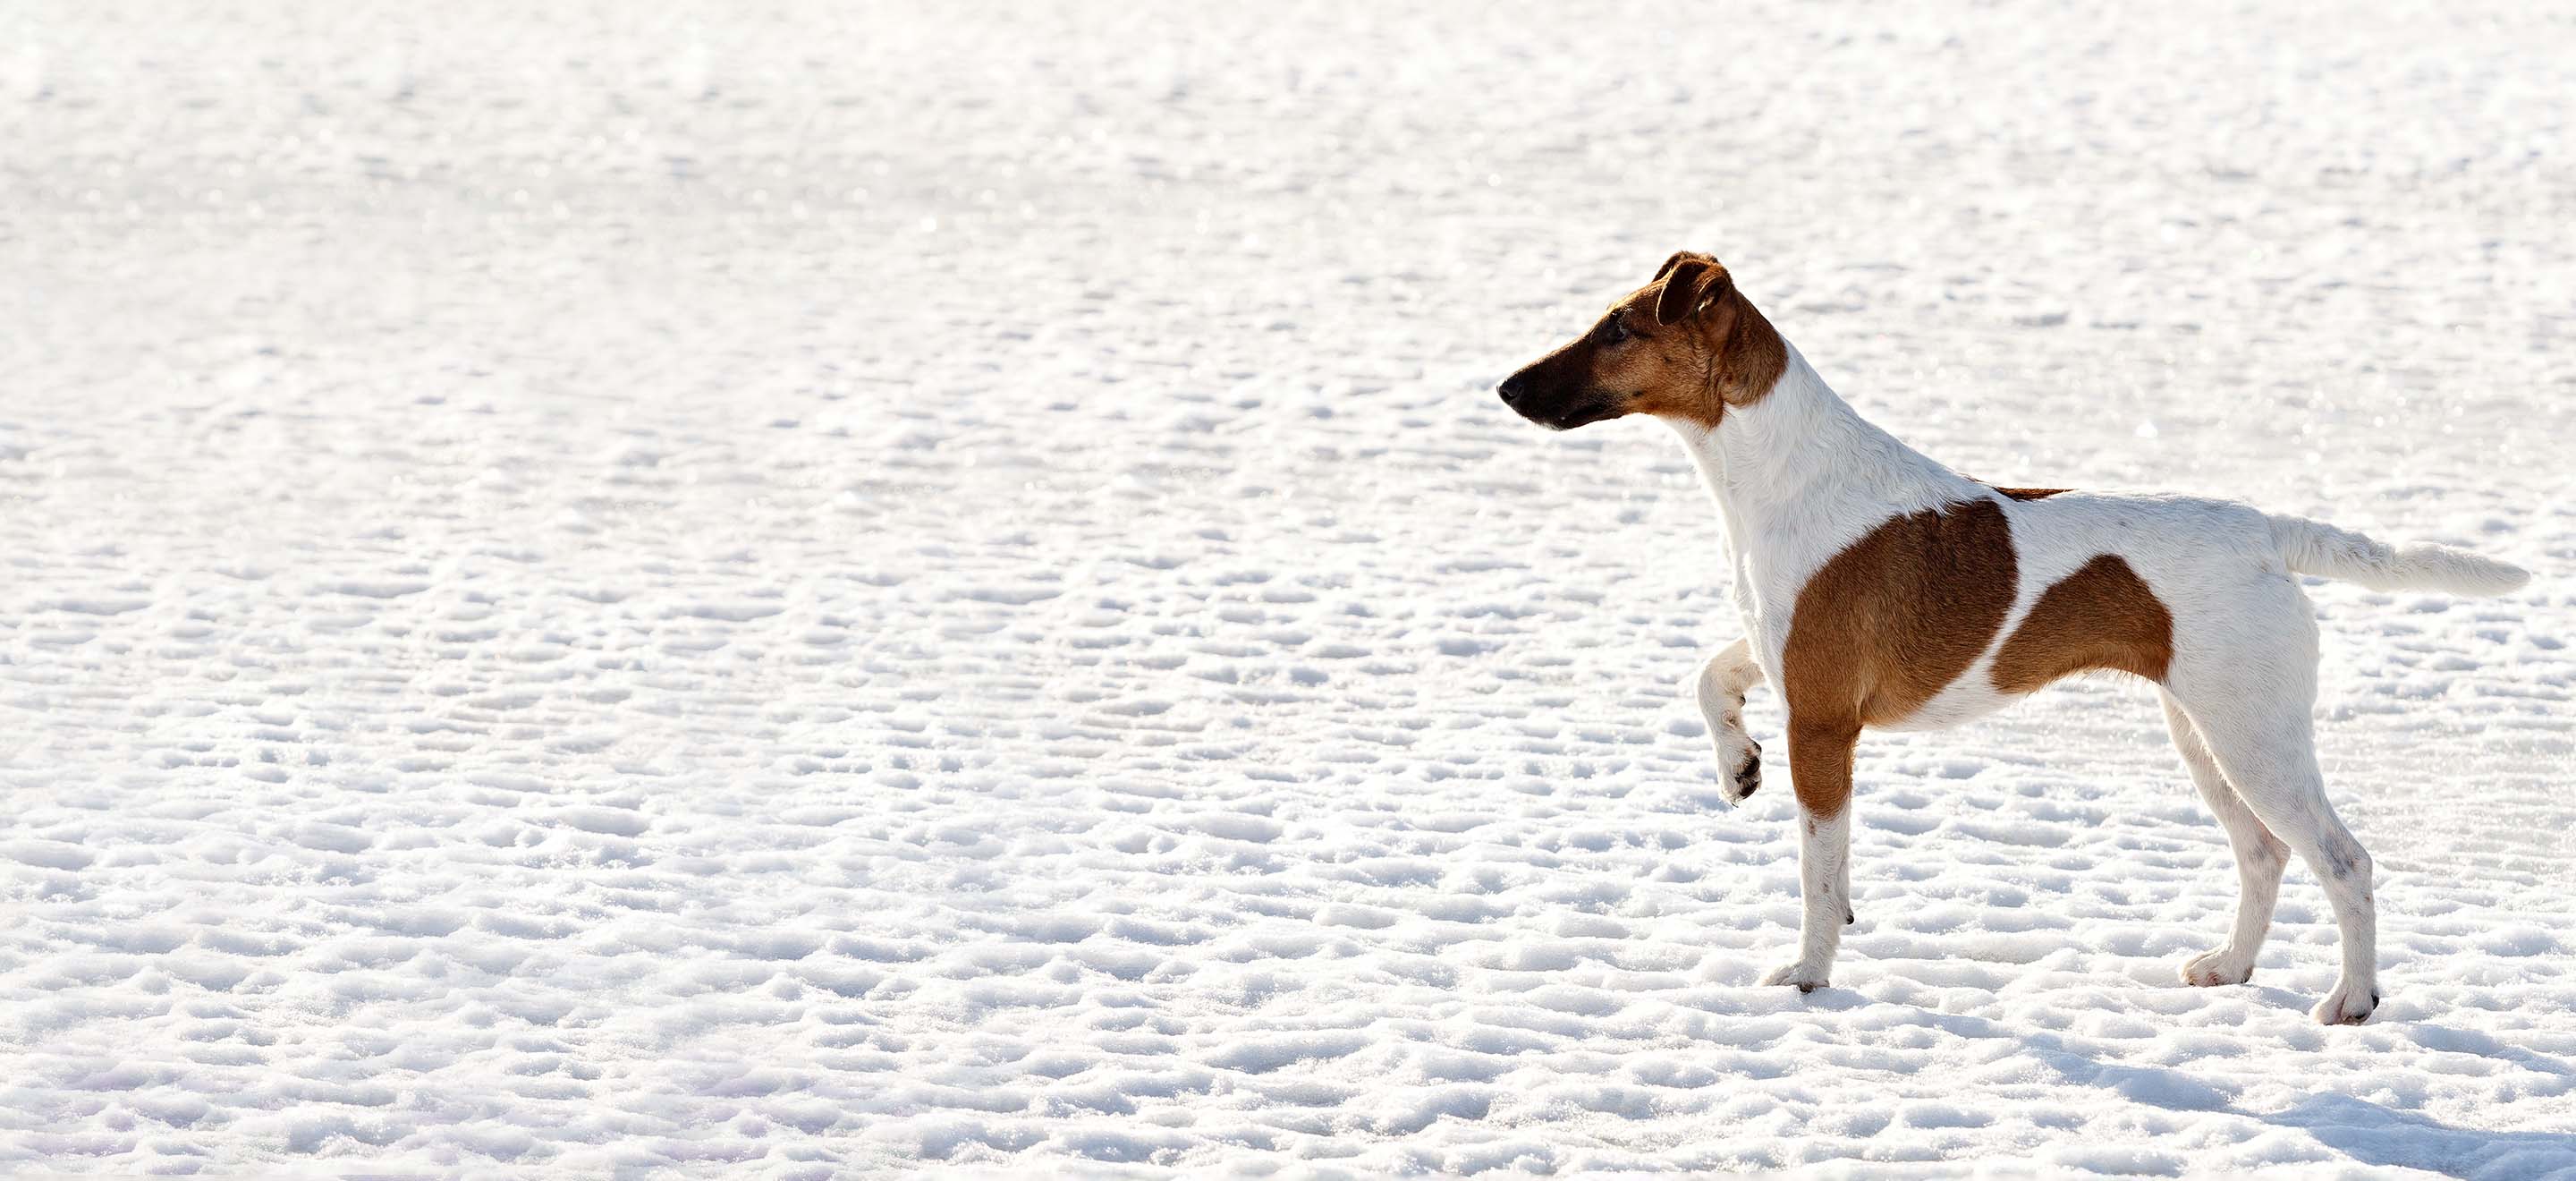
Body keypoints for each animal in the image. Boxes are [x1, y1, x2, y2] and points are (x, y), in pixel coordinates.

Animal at [1504, 251, 2524, 1026]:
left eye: (1620, 329)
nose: (1507, 385)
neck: (1786, 473)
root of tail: (2269, 532)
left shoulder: (1825, 724)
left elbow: (1819, 875)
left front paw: (1808, 976)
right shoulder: (1785, 662)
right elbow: (1708, 674)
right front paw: (1735, 766)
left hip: (2254, 736)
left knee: (2344, 861)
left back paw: (2351, 1002)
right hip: (2205, 734)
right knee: (2264, 855)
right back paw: (2228, 968)